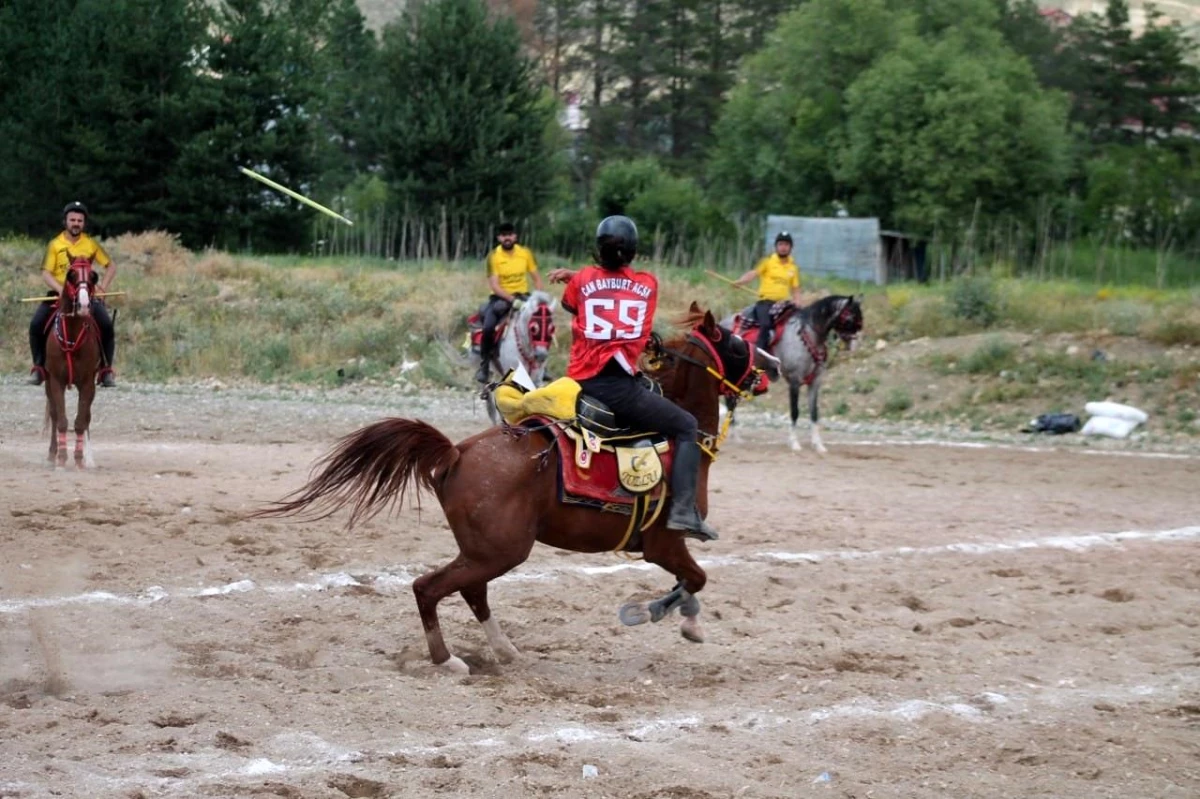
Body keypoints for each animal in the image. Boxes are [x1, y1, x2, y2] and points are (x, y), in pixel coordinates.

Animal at [43, 257, 102, 467]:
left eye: (93, 276)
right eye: (71, 275)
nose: (83, 304)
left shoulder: (87, 382)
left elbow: (81, 421)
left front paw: (79, 459)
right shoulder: (56, 381)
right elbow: (61, 419)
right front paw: (61, 458)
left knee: (87, 417)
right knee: (53, 414)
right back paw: (52, 455)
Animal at [254, 304, 763, 671]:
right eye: (737, 343)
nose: (767, 371)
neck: (677, 440)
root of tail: (455, 454)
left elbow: (691, 581)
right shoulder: (664, 544)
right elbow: (694, 579)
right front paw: (667, 617)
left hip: (483, 551)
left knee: (471, 592)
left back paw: (504, 651)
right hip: (500, 551)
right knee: (428, 587)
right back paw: (447, 660)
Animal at [720, 295, 864, 451]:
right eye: (849, 318)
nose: (854, 343)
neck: (809, 335)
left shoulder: (815, 382)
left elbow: (814, 413)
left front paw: (818, 445)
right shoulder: (795, 380)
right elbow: (795, 412)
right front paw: (794, 443)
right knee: (730, 403)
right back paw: (736, 437)